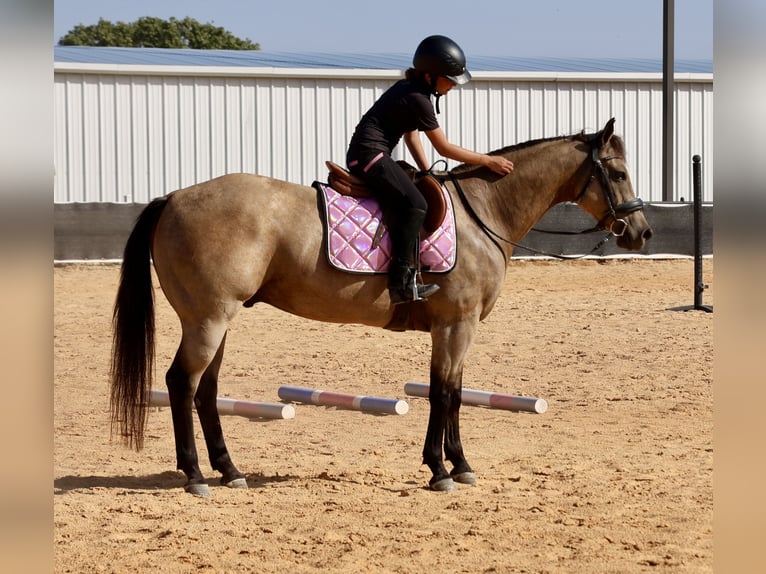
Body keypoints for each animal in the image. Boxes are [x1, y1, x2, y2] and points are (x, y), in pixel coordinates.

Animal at [110, 117, 652, 496]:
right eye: (618, 172)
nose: (642, 232)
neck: (483, 212)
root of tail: (173, 197)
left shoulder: (456, 328)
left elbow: (453, 393)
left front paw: (457, 465)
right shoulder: (455, 325)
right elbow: (443, 394)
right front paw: (441, 470)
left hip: (217, 321)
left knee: (205, 391)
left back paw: (229, 470)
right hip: (208, 319)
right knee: (182, 384)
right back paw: (196, 475)